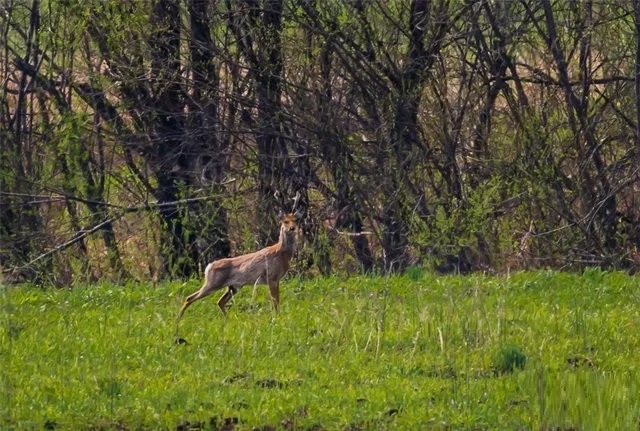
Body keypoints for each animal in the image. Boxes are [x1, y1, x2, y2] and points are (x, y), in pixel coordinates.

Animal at [176, 194, 304, 332]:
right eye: (285, 221)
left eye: (296, 220)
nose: (292, 228)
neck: (281, 253)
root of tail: (208, 267)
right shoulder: (271, 276)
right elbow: (275, 301)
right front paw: (277, 319)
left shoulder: (277, 279)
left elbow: (276, 300)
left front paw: (278, 318)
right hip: (212, 284)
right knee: (190, 298)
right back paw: (178, 322)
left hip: (233, 286)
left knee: (220, 301)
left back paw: (228, 321)